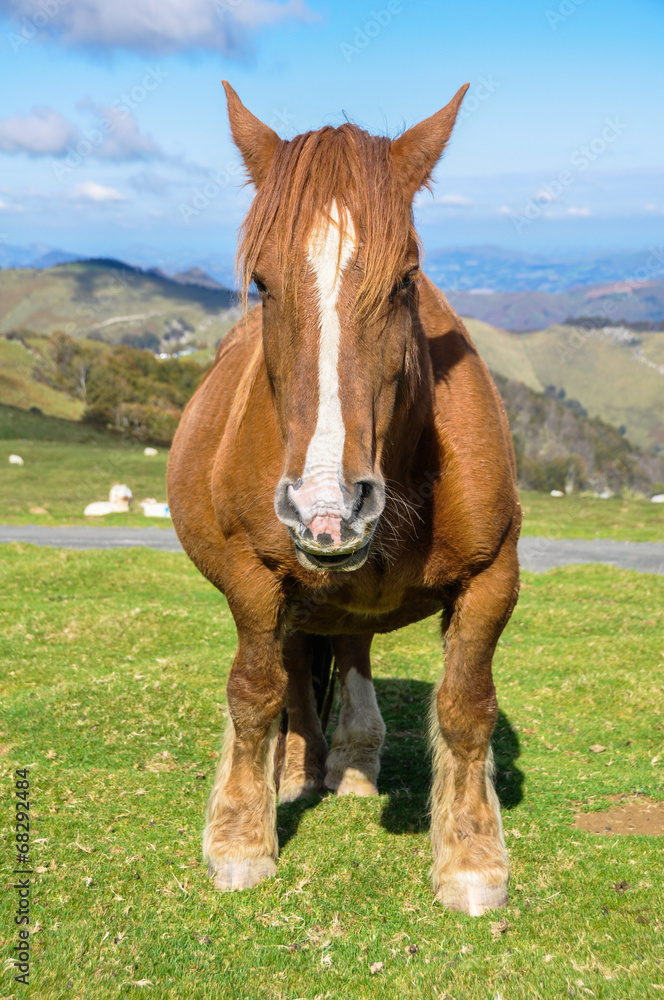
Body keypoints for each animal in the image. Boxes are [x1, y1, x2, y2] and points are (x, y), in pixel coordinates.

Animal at [167, 81, 522, 916]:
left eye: (406, 280)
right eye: (262, 284)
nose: (329, 508)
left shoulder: (494, 577)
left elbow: (467, 707)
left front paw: (471, 859)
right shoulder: (252, 578)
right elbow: (255, 692)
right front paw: (240, 839)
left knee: (351, 646)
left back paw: (354, 762)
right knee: (297, 668)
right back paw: (300, 768)